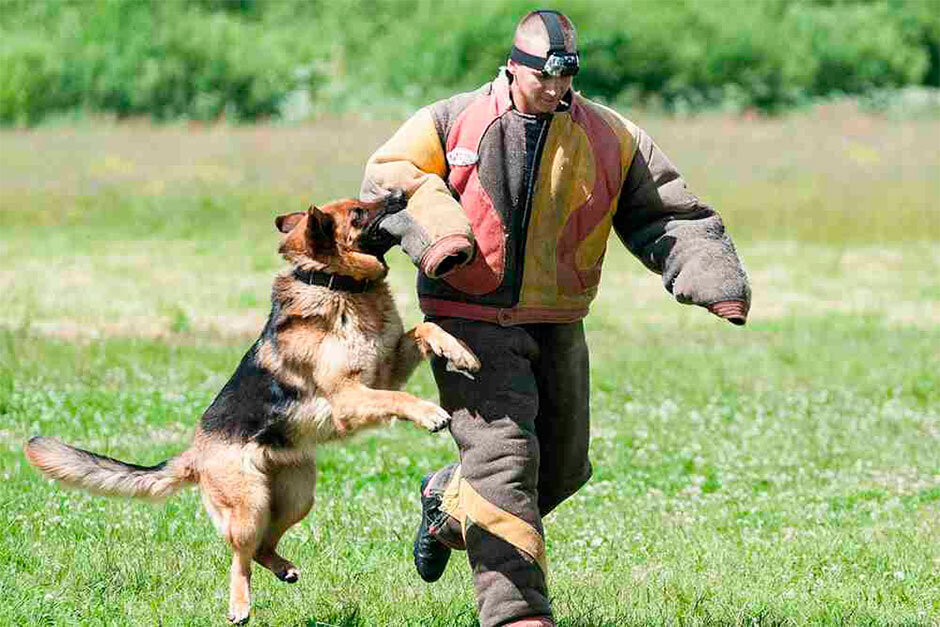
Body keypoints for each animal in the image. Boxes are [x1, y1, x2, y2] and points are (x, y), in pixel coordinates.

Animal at [25, 194, 482, 624]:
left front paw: (461, 352)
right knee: (240, 557)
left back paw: (282, 568)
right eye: (358, 211)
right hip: (249, 506)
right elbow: (398, 398)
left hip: (297, 496)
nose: (400, 194)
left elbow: (425, 329)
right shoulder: (351, 395)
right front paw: (430, 413)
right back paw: (240, 604)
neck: (336, 286)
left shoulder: (386, 370)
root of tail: (195, 453)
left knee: (265, 545)